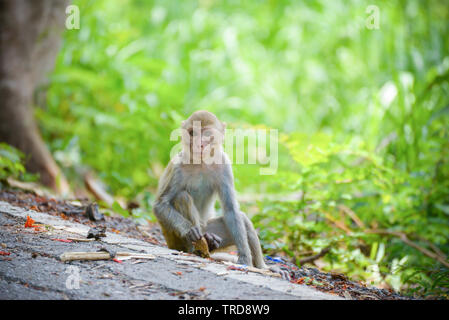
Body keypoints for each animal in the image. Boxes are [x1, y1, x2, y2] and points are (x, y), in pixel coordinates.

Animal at [152, 110, 288, 280]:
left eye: (207, 134)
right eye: (192, 133)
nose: (199, 144)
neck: (201, 162)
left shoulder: (224, 165)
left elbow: (231, 210)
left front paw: (245, 259)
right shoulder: (177, 167)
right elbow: (160, 205)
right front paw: (189, 230)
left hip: (209, 227)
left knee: (241, 218)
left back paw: (261, 267)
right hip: (175, 238)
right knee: (182, 197)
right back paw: (197, 248)